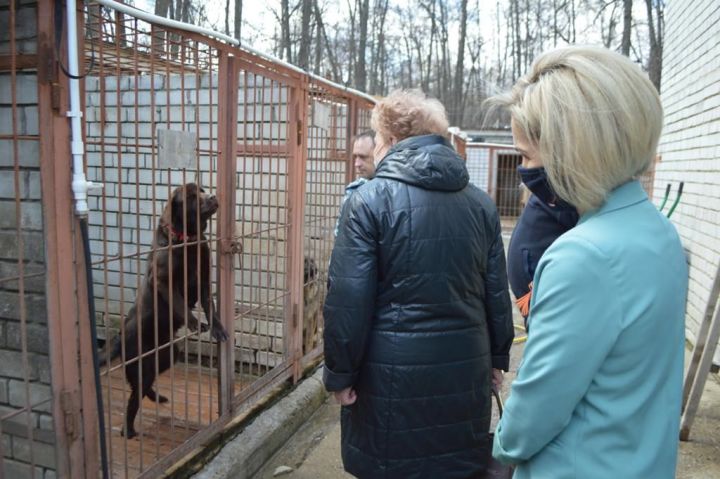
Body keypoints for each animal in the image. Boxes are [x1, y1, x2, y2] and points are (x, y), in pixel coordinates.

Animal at [99, 184, 228, 438]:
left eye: (203, 190)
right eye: (191, 197)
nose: (213, 196)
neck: (187, 241)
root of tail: (120, 336)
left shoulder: (204, 280)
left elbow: (211, 307)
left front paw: (217, 329)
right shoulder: (163, 282)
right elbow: (179, 303)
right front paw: (195, 323)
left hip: (169, 354)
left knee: (141, 386)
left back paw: (156, 397)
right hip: (142, 365)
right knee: (133, 398)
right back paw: (128, 430)